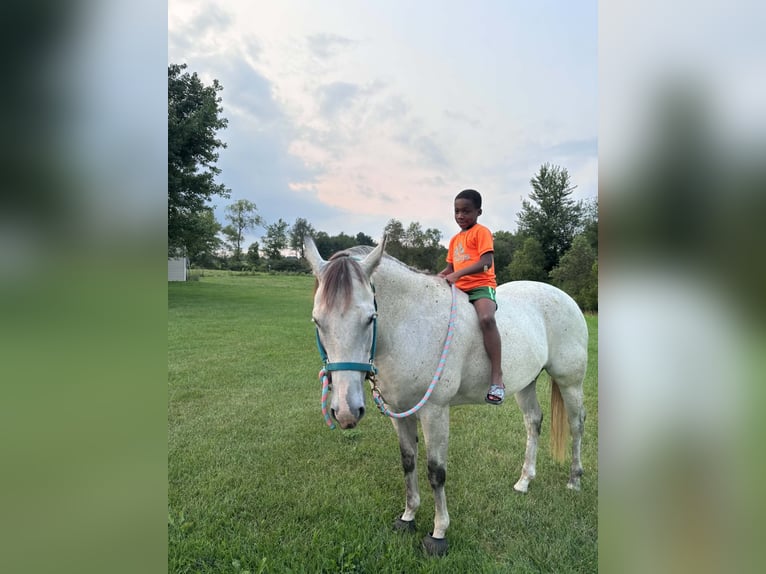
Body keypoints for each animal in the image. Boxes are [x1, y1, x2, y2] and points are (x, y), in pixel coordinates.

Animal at [305, 235, 588, 556]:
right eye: (317, 321)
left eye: (370, 318)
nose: (346, 412)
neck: (410, 326)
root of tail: (566, 298)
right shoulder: (399, 412)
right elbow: (408, 462)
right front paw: (408, 517)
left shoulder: (435, 411)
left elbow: (435, 471)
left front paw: (438, 533)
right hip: (526, 382)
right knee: (533, 422)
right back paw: (524, 481)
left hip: (570, 381)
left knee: (577, 425)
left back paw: (574, 479)